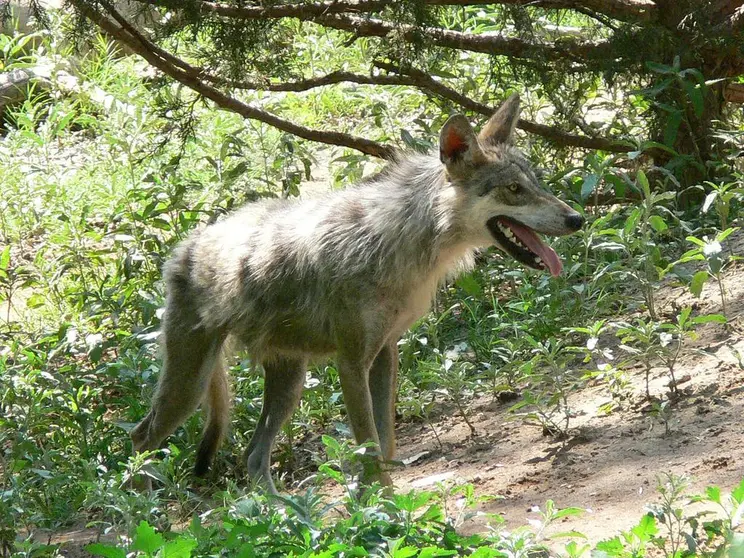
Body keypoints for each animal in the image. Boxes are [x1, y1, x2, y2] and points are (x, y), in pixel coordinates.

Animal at [129, 95, 588, 494]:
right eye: (513, 189)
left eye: (535, 183)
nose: (577, 219)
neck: (399, 243)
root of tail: (188, 244)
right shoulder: (351, 362)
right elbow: (369, 448)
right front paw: (384, 509)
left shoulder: (386, 352)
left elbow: (385, 443)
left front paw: (384, 505)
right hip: (188, 390)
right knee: (139, 441)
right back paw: (142, 516)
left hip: (288, 385)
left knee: (253, 458)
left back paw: (281, 516)